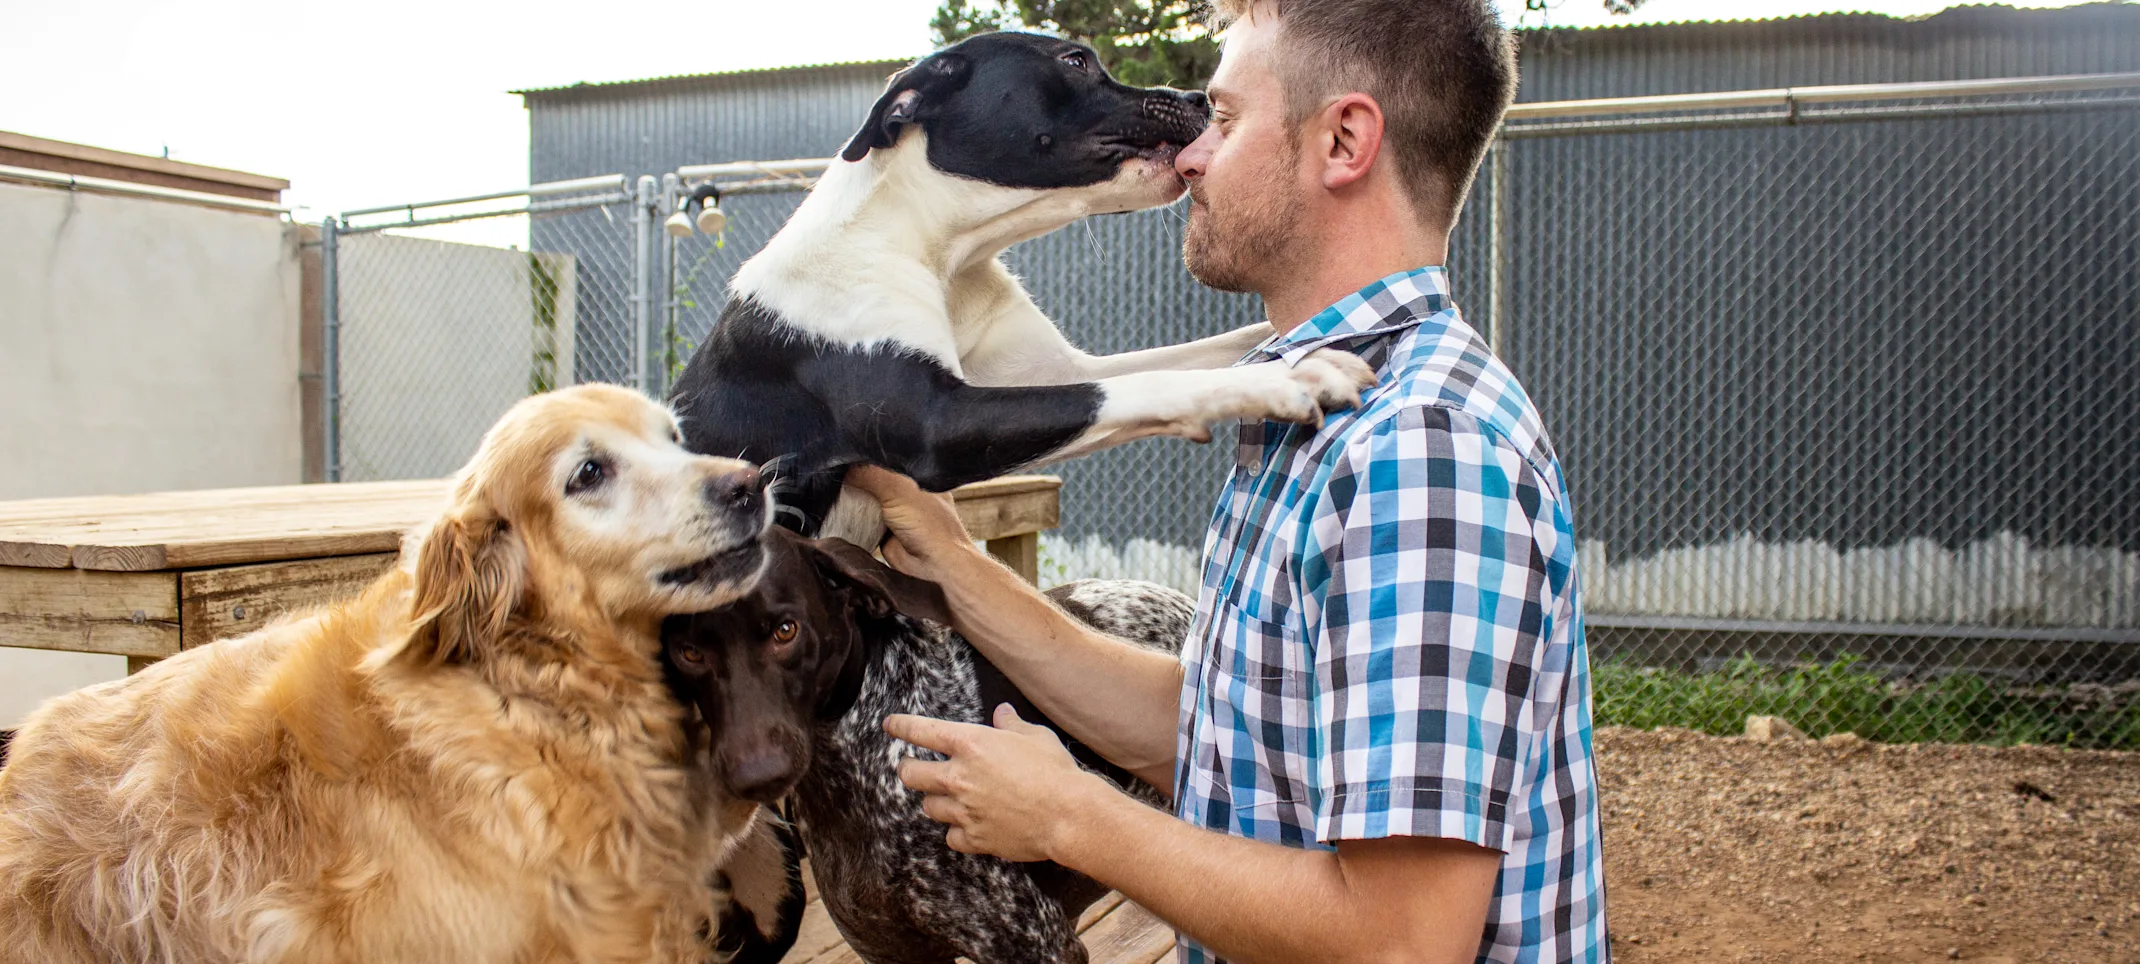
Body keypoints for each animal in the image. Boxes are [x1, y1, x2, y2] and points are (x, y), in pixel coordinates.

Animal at [667, 30, 1378, 541]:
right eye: (1076, 61)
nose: (1200, 99)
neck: (945, 254)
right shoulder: (938, 422)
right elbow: (1142, 384)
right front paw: (1290, 377)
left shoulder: (1049, 373)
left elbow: (1205, 352)